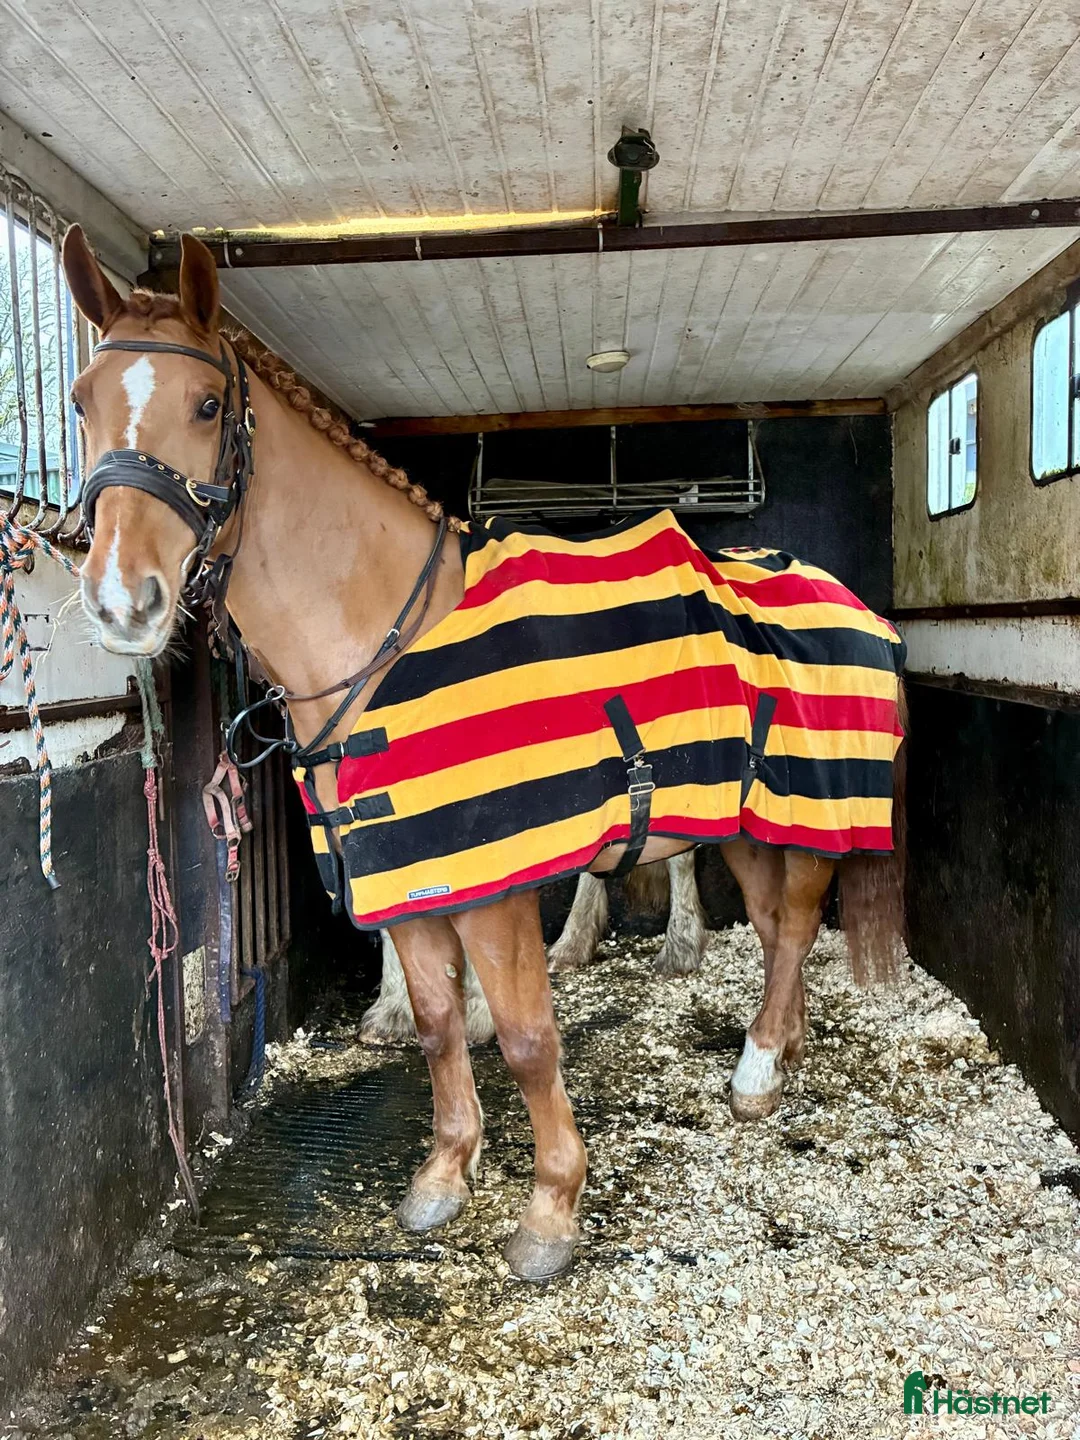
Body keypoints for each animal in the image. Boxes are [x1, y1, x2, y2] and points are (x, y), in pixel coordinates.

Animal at [63, 228, 906, 1283]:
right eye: (82, 401)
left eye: (208, 404)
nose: (119, 601)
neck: (388, 645)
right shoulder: (413, 878)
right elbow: (434, 1029)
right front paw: (443, 1176)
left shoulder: (493, 893)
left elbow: (527, 1038)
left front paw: (551, 1212)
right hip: (745, 818)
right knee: (769, 926)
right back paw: (778, 1053)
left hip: (811, 803)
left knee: (792, 925)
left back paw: (755, 1073)